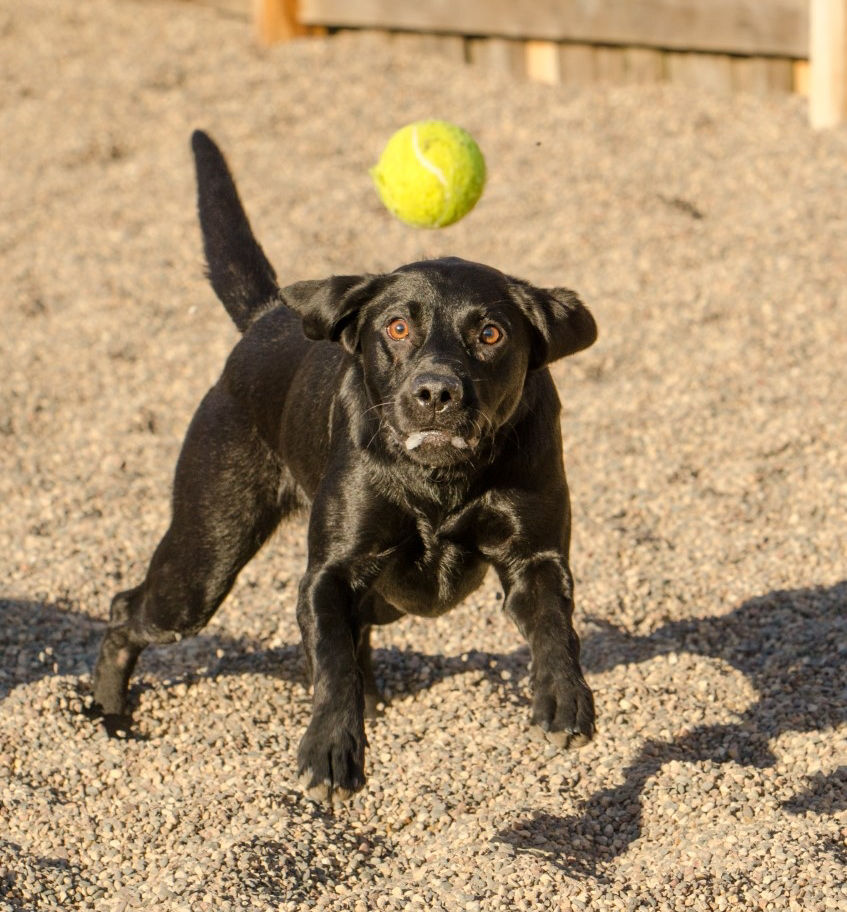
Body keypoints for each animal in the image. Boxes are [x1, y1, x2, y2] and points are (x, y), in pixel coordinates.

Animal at [91, 132, 596, 800]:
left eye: (490, 334)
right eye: (397, 326)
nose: (435, 393)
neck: (439, 484)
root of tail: (264, 317)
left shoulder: (534, 558)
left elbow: (555, 628)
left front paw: (563, 697)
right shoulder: (328, 574)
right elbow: (331, 665)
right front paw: (332, 747)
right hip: (203, 561)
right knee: (127, 610)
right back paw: (107, 714)